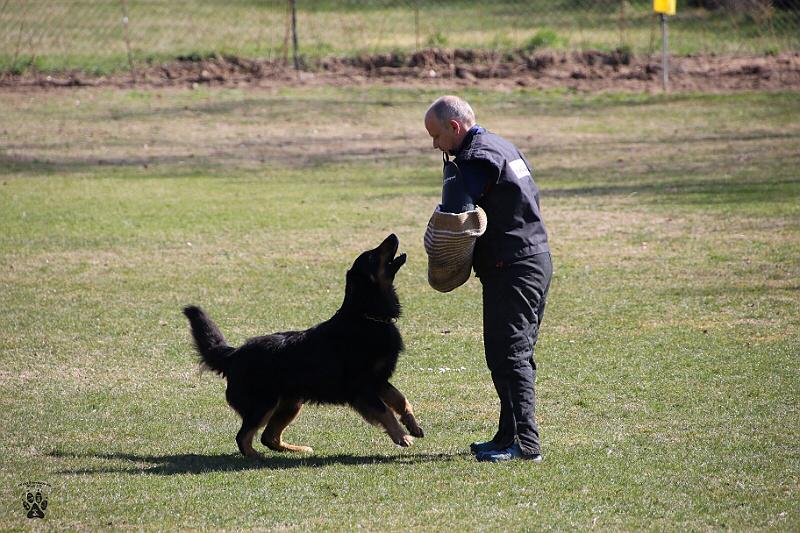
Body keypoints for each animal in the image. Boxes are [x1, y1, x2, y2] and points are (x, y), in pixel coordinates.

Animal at [183, 233, 424, 458]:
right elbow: (385, 411)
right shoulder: (363, 388)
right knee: (243, 436)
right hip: (264, 403)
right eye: (373, 255)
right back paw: (255, 457)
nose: (393, 235)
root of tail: (234, 354)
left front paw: (412, 425)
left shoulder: (379, 380)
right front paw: (402, 436)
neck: (366, 316)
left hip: (290, 403)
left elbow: (401, 400)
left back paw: (296, 449)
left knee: (268, 436)